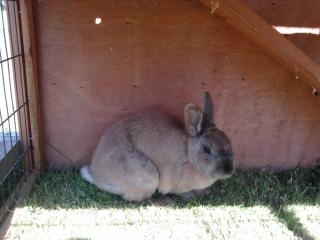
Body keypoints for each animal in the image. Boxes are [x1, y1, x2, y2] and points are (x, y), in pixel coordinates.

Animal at [80, 91, 235, 201]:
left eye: (228, 141)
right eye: (207, 149)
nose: (228, 170)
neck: (189, 157)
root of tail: (96, 174)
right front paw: (191, 195)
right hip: (147, 175)